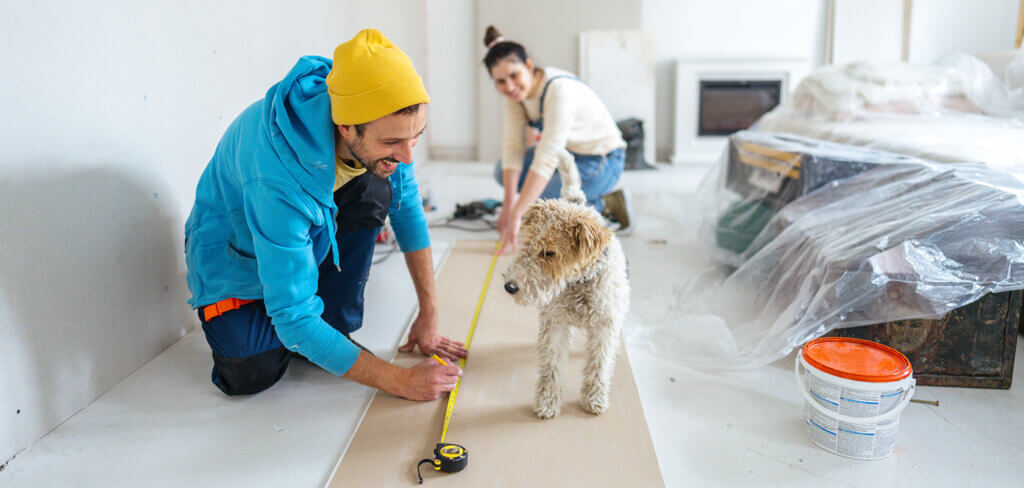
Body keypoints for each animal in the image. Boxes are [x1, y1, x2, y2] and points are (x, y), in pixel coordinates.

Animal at [499, 150, 626, 417]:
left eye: (549, 252)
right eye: (527, 244)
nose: (510, 287)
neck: (580, 282)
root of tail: (577, 202)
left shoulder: (604, 325)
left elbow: (598, 364)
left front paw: (594, 399)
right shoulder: (555, 322)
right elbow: (551, 366)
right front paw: (547, 402)